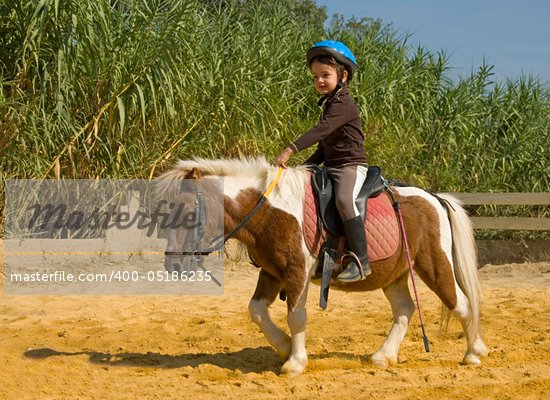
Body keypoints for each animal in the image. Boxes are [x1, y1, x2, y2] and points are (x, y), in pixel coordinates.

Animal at [156, 158, 492, 376]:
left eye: (186, 212)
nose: (174, 265)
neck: (270, 210)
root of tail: (435, 198)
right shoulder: (272, 272)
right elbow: (256, 310)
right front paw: (283, 347)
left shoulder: (296, 273)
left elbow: (296, 316)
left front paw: (295, 362)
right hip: (393, 274)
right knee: (405, 310)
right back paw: (383, 357)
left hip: (434, 265)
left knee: (461, 304)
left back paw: (474, 353)